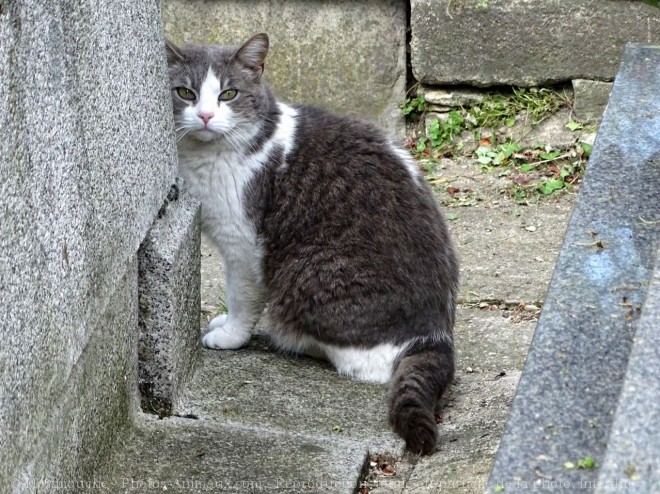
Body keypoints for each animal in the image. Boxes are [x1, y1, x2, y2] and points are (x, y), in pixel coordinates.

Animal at [165, 32, 458, 454]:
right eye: (185, 93)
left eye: (228, 94)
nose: (204, 116)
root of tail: (435, 335)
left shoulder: (243, 247)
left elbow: (241, 298)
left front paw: (230, 334)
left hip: (308, 271)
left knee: (360, 362)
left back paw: (287, 337)